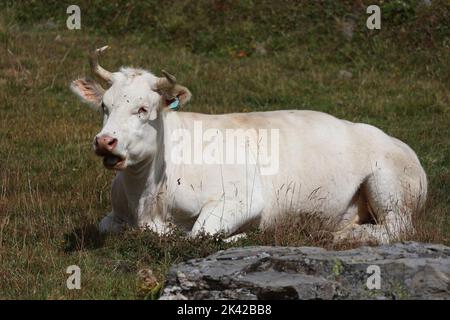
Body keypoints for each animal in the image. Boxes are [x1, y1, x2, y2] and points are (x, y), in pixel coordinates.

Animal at [69, 47, 426, 242]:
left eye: (143, 109)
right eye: (105, 106)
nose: (105, 141)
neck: (146, 198)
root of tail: (398, 143)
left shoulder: (242, 198)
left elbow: (198, 233)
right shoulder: (116, 214)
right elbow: (106, 226)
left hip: (391, 186)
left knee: (396, 229)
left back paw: (341, 234)